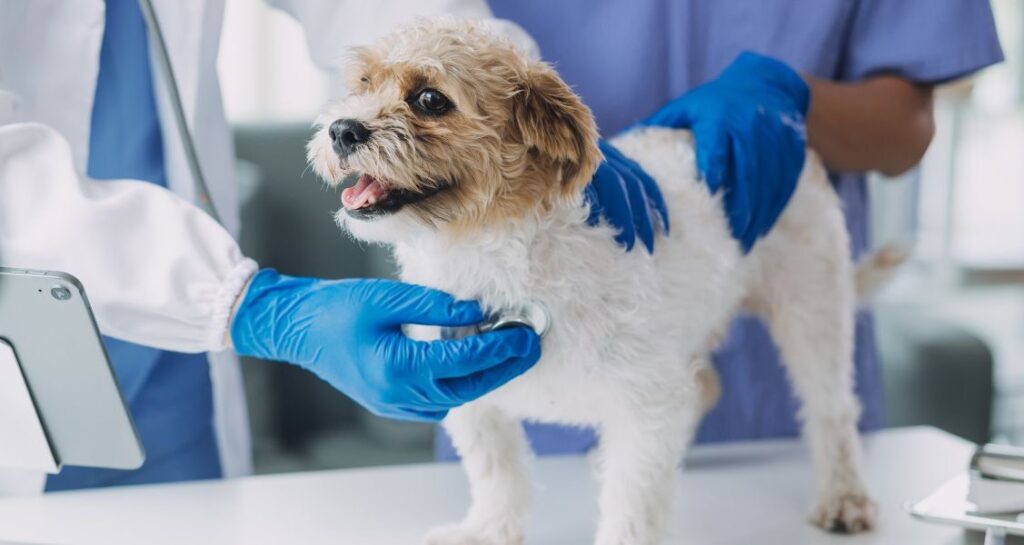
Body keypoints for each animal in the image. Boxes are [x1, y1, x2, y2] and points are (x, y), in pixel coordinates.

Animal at [309, 18, 880, 545]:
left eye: (430, 99)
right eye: (362, 83)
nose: (342, 129)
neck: (497, 254)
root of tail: (796, 138)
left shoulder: (647, 402)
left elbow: (633, 497)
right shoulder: (463, 389)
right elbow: (498, 473)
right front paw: (488, 530)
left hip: (812, 308)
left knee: (832, 407)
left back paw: (844, 496)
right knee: (705, 386)